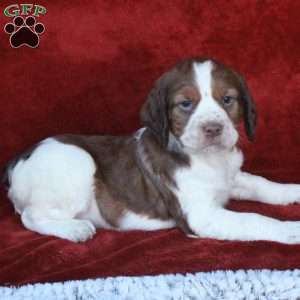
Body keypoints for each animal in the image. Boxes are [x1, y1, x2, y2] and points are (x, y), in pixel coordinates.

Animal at [3, 56, 300, 244]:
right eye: (185, 104)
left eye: (228, 100)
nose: (213, 129)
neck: (209, 159)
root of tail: (17, 160)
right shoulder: (201, 216)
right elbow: (255, 218)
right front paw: (292, 230)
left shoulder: (231, 178)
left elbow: (263, 184)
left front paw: (294, 191)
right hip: (77, 160)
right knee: (30, 216)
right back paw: (74, 229)